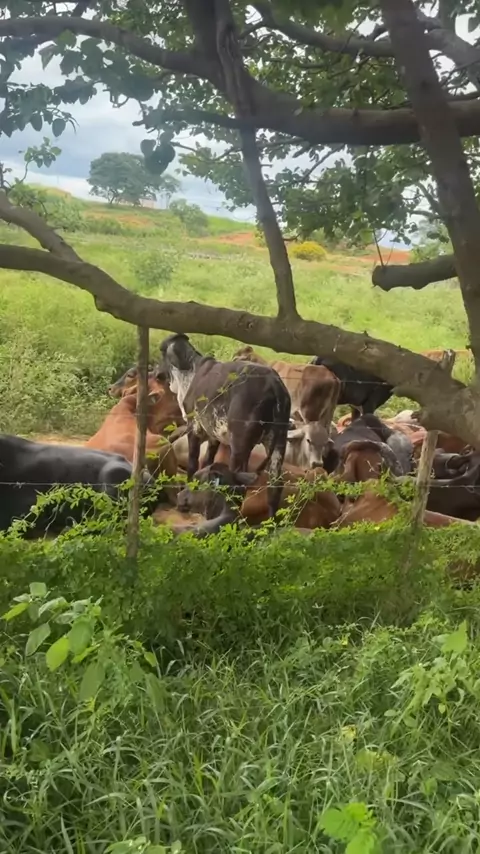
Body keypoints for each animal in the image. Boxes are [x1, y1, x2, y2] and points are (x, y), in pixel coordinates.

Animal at [159, 333, 291, 518]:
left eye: (161, 353)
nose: (156, 373)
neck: (190, 371)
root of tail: (274, 385)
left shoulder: (194, 430)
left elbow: (192, 466)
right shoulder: (213, 437)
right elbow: (207, 462)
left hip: (240, 446)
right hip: (278, 443)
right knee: (275, 487)